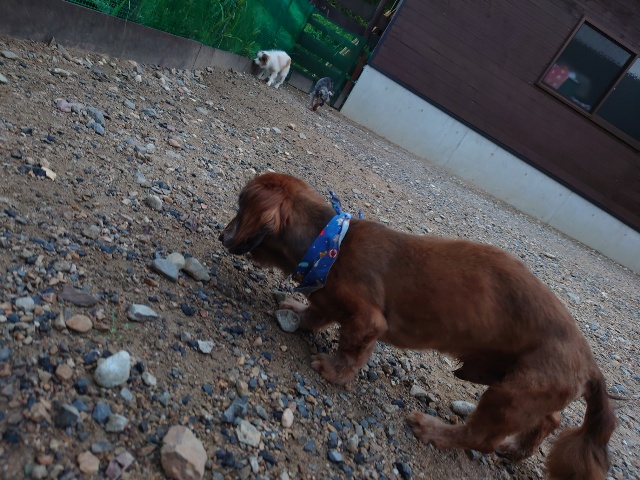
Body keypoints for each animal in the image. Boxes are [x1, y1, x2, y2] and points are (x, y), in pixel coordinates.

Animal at [219, 173, 617, 479]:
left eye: (240, 209)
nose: (222, 236)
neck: (329, 244)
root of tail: (590, 365)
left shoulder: (368, 318)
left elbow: (351, 347)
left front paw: (333, 371)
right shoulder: (329, 299)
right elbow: (316, 313)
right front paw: (298, 312)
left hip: (510, 394)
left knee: (482, 437)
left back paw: (434, 431)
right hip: (515, 381)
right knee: (550, 418)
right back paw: (518, 449)